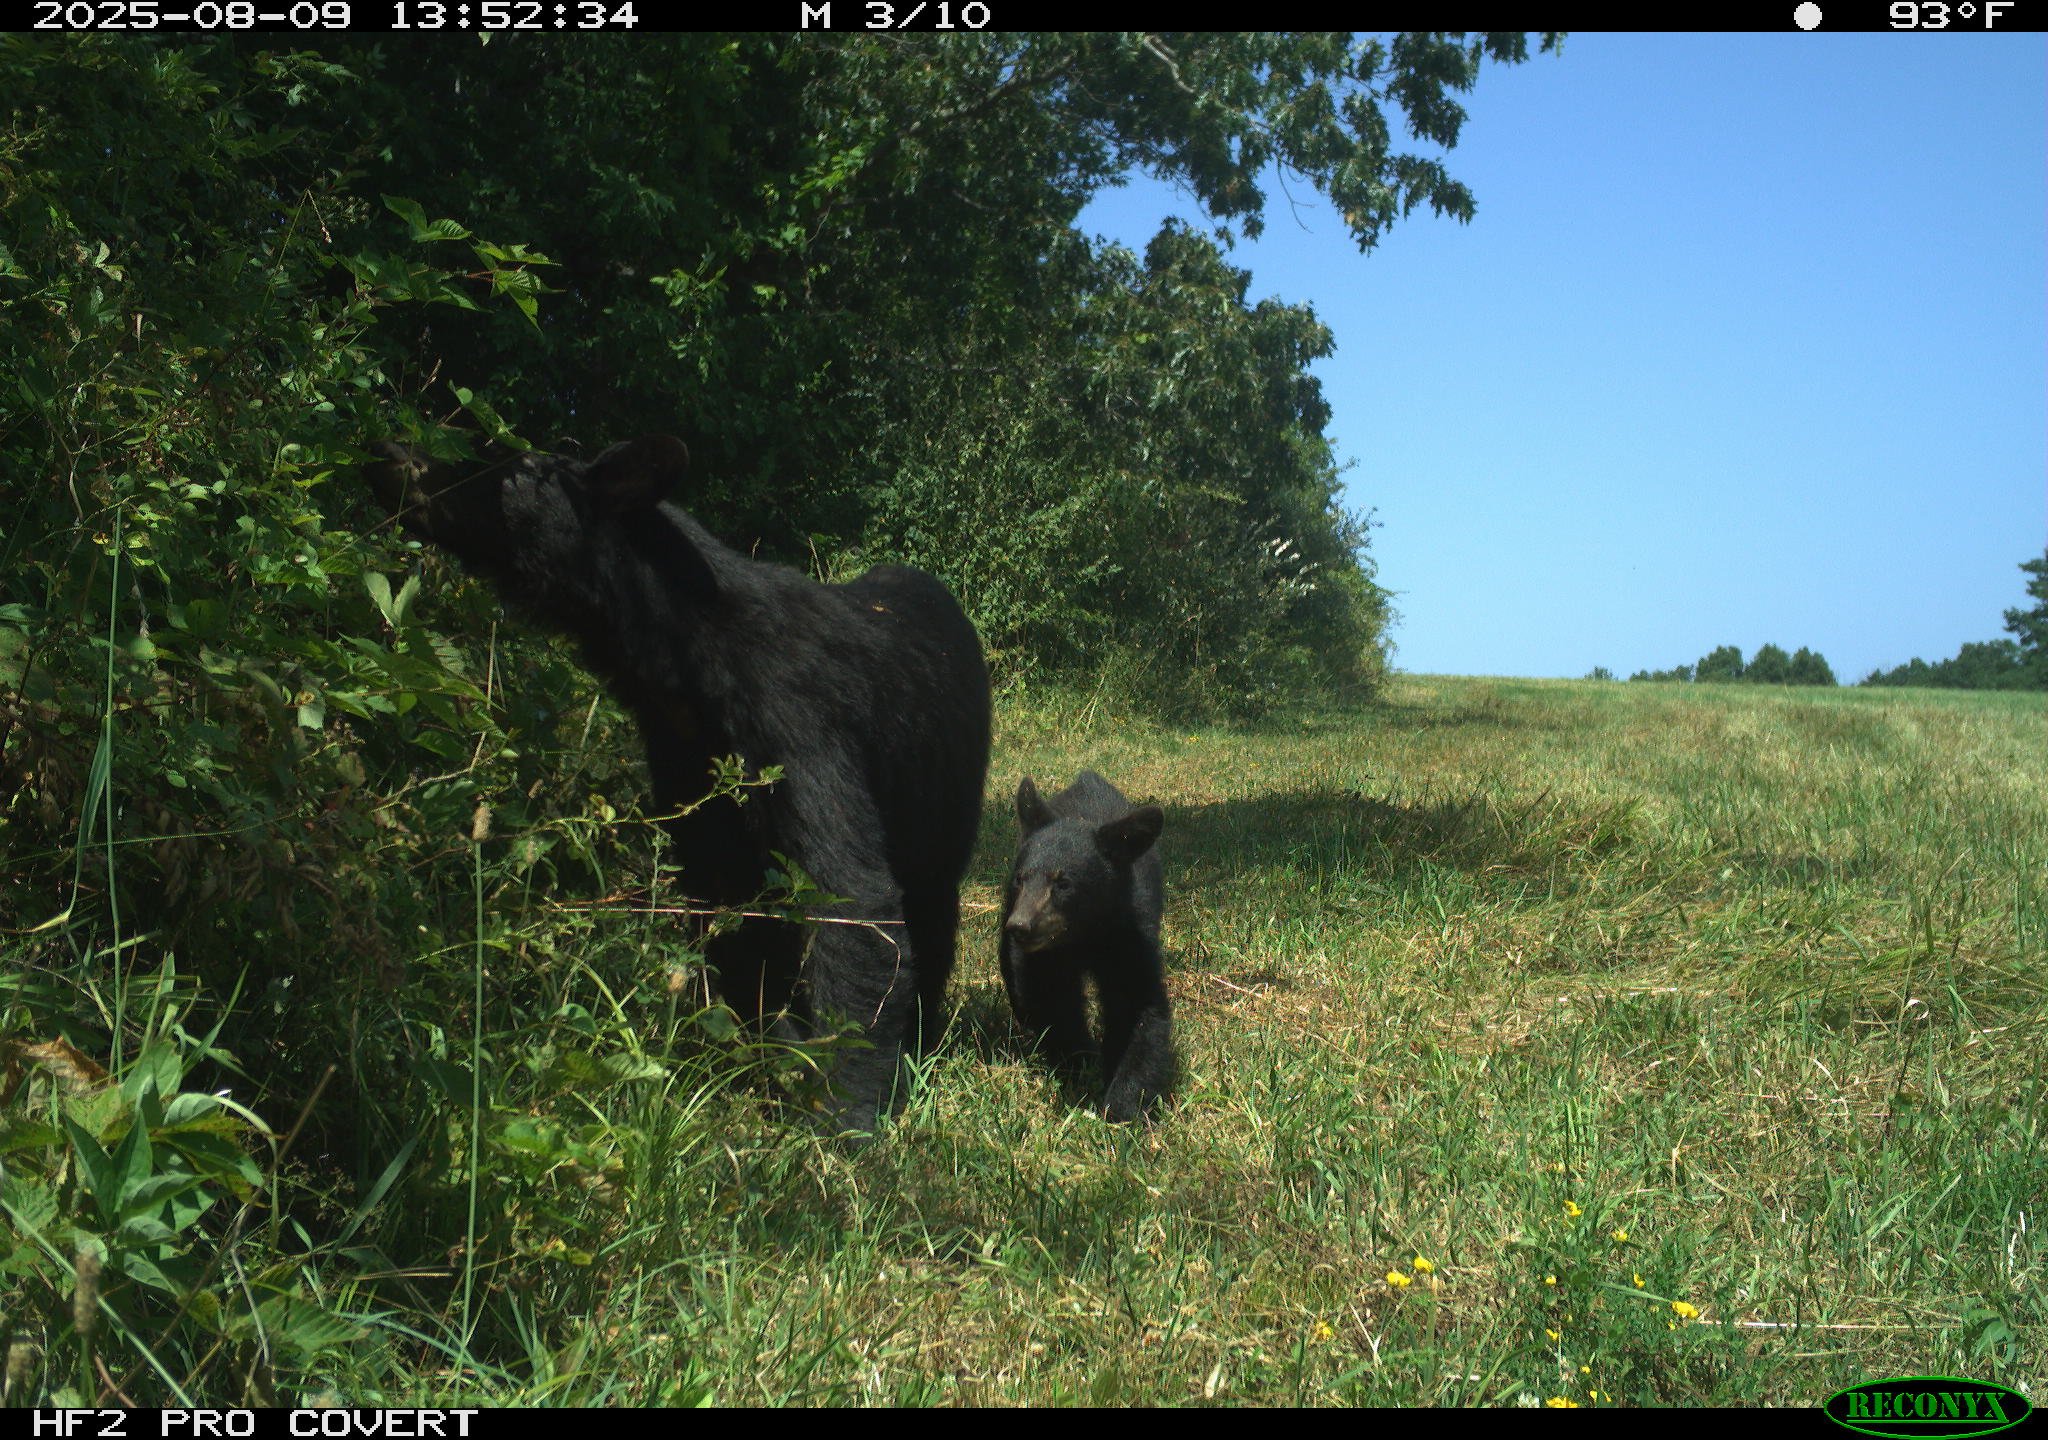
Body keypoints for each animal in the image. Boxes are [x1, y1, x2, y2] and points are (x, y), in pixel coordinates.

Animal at [367, 435, 992, 1132]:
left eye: (512, 470)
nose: (389, 452)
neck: (680, 664)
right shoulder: (684, 758)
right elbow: (725, 906)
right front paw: (758, 1054)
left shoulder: (797, 721)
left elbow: (852, 897)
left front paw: (845, 1110)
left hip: (945, 786)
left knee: (930, 894)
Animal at [1000, 770, 1174, 1122]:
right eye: (1021, 878)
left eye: (1064, 883)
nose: (1020, 927)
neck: (1081, 934)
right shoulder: (1044, 955)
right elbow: (1052, 997)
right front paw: (1079, 1060)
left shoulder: (1128, 932)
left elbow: (1137, 1004)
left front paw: (1123, 1104)